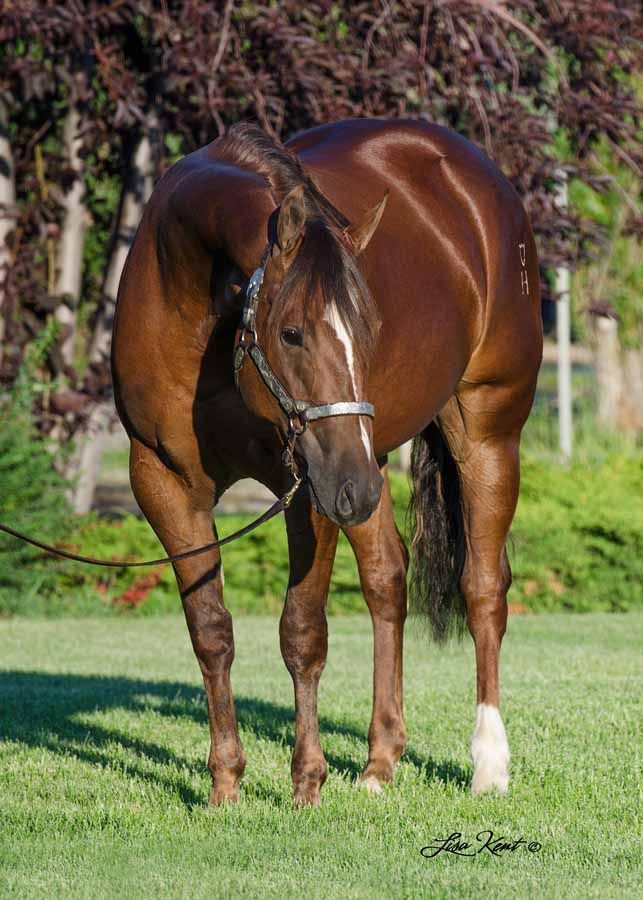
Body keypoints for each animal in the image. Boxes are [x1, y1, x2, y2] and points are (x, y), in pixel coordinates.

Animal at [112, 118, 543, 806]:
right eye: (291, 332)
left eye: (368, 331)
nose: (352, 490)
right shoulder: (165, 483)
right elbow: (211, 631)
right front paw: (225, 785)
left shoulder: (308, 485)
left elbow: (302, 632)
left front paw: (306, 784)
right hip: (367, 461)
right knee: (388, 579)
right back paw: (379, 763)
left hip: (473, 434)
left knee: (482, 587)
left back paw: (488, 764)